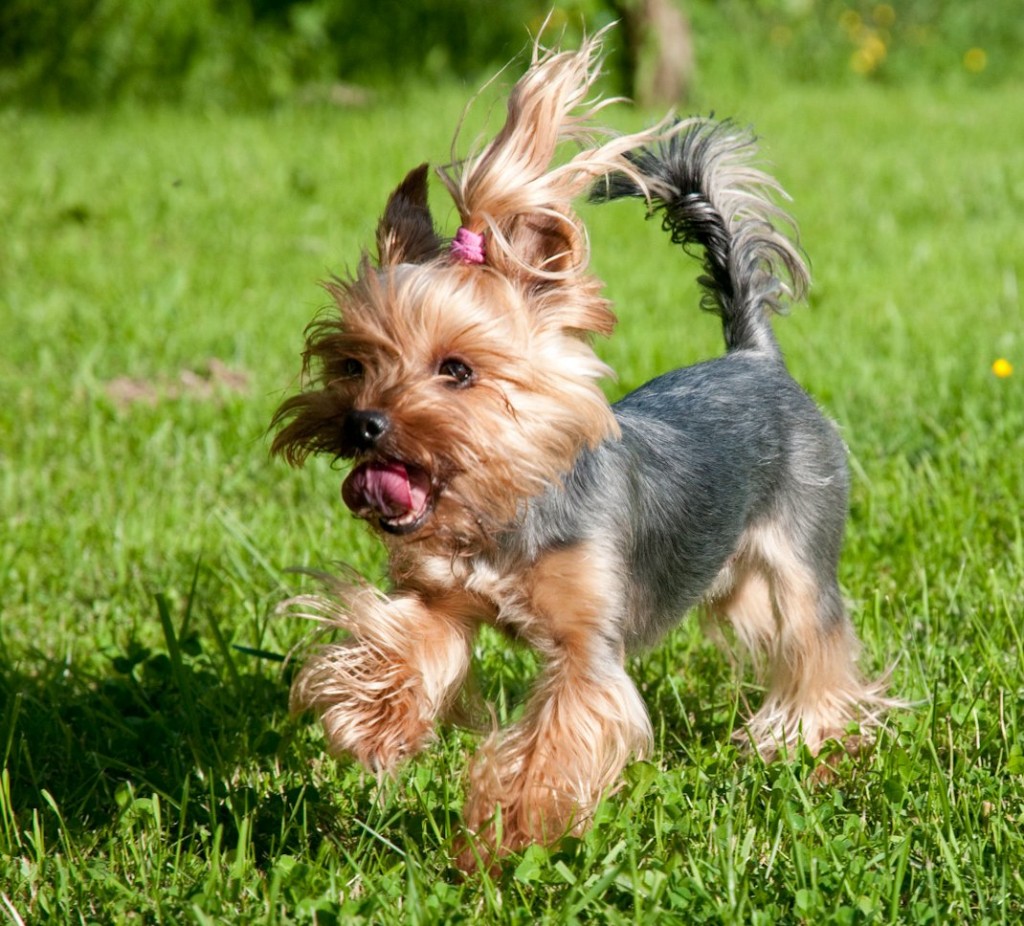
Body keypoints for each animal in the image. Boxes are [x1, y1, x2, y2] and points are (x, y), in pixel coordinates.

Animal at [268, 30, 892, 868]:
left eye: (457, 370)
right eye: (351, 365)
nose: (362, 423)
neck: (505, 504)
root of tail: (757, 356)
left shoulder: (585, 645)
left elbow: (560, 734)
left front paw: (505, 837)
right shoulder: (445, 596)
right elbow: (408, 639)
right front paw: (374, 723)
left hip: (801, 542)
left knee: (814, 636)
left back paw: (804, 737)